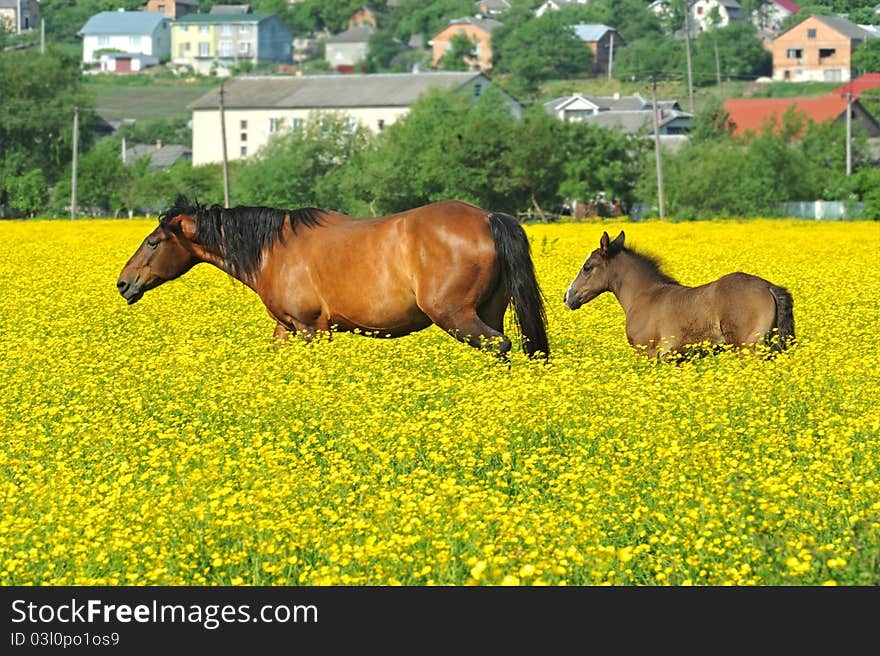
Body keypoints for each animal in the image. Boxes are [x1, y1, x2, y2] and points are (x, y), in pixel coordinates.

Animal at [113, 196, 548, 358]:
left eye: (153, 242)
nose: (124, 283)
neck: (275, 249)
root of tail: (489, 217)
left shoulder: (311, 329)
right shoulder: (286, 328)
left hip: (455, 315)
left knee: (499, 346)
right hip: (486, 312)